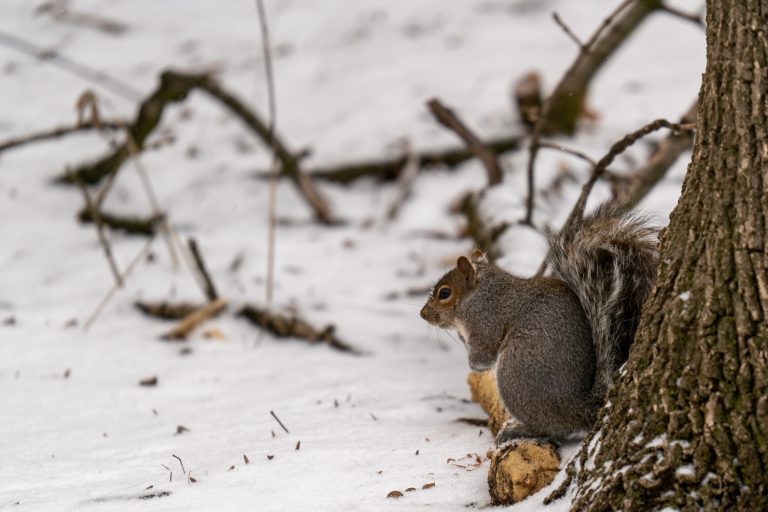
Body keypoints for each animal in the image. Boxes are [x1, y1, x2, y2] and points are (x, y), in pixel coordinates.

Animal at [420, 204, 660, 444]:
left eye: (444, 293)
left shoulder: (485, 322)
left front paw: (472, 362)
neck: (479, 293)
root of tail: (576, 408)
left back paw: (521, 430)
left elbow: (483, 358)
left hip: (515, 374)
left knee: (552, 429)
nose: (423, 314)